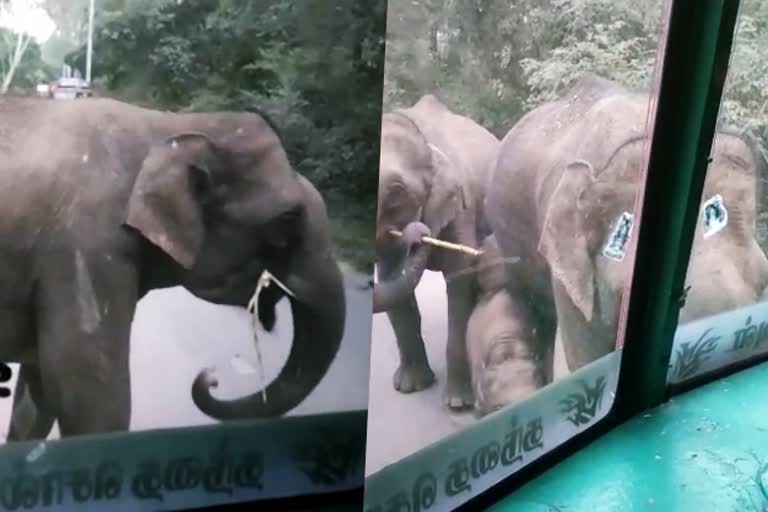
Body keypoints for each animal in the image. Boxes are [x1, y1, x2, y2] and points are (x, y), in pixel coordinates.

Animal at [0, 96, 346, 440]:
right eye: (288, 218)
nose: (211, 377)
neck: (173, 126)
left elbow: (39, 393)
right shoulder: (86, 253)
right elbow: (89, 398)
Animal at [374, 94, 504, 410]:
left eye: (395, 195)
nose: (418, 232)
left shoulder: (462, 207)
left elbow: (460, 281)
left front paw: (458, 404)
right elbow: (391, 280)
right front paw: (409, 388)